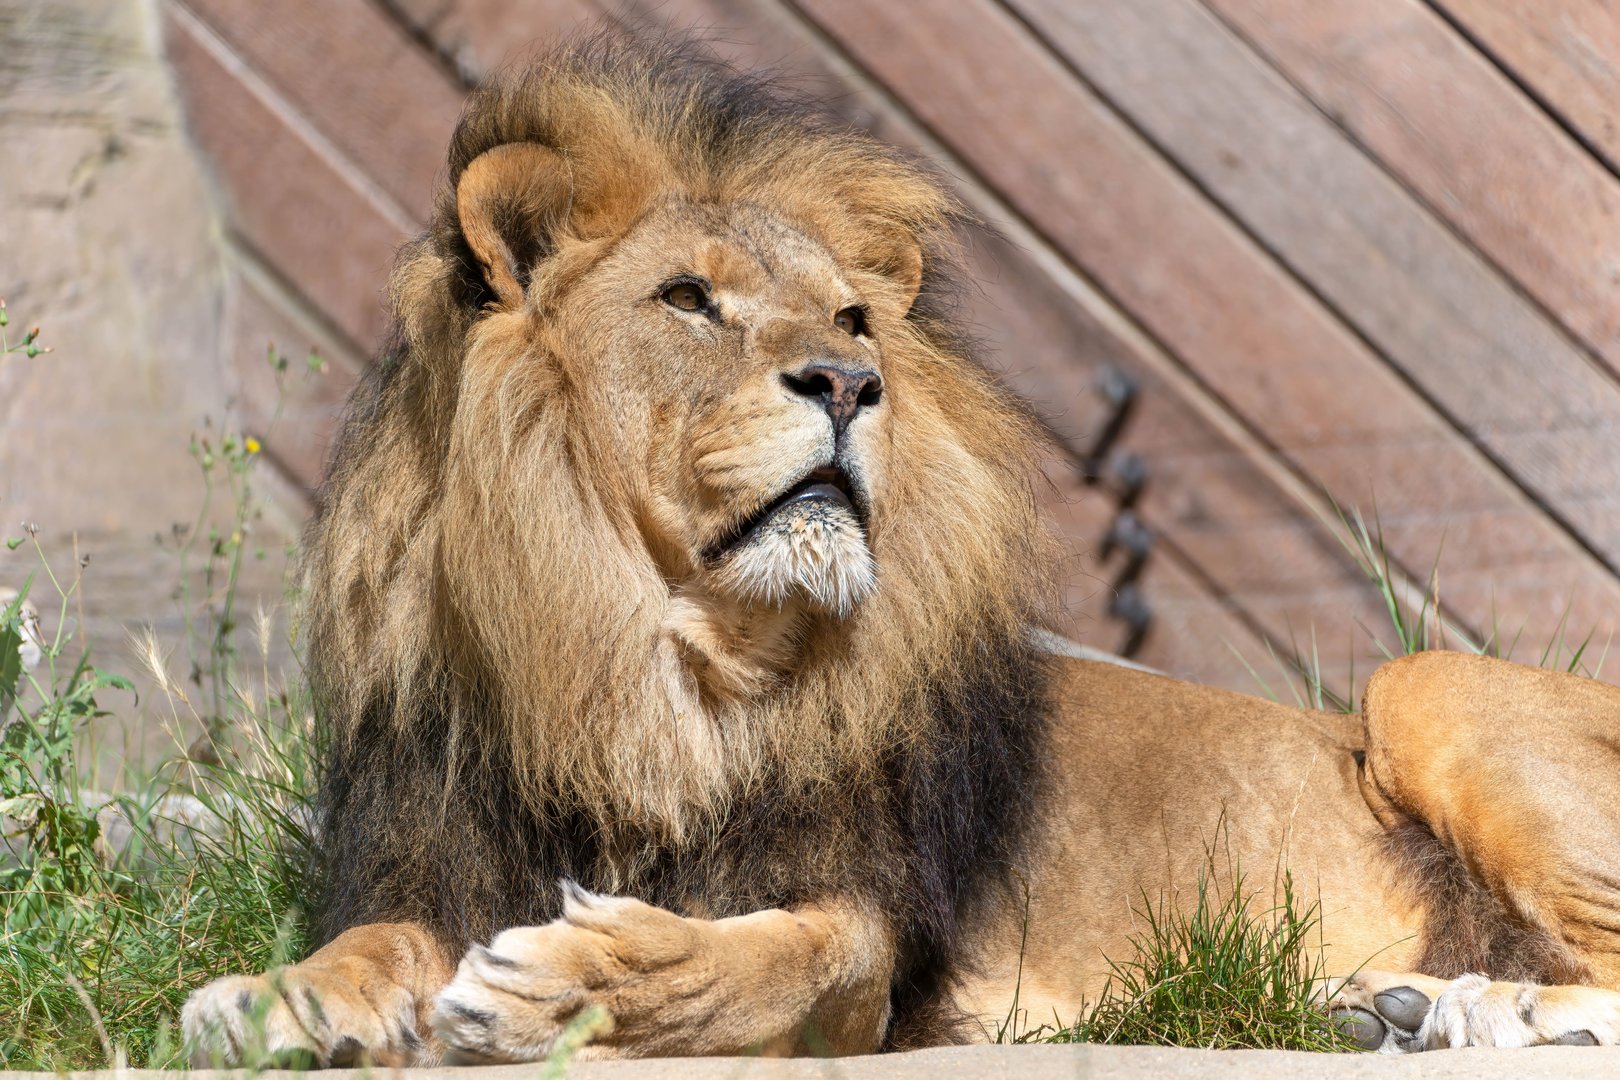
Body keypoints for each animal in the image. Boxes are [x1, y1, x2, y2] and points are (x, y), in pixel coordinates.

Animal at [181, 35, 1620, 1064]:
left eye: (852, 317)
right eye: (687, 299)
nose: (848, 381)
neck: (653, 667)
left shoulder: (871, 946)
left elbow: (763, 962)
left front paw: (566, 984)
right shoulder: (433, 853)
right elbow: (373, 940)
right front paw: (275, 1002)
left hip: (1417, 683)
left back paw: (1494, 1013)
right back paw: (1397, 1007)